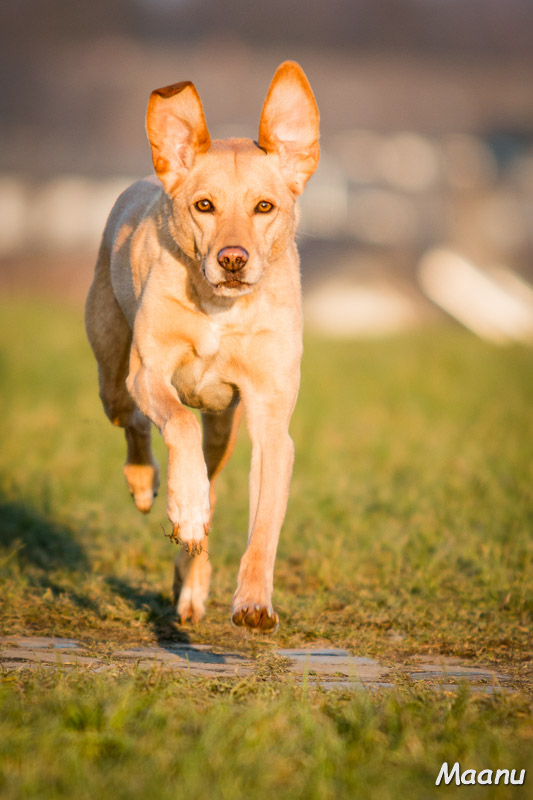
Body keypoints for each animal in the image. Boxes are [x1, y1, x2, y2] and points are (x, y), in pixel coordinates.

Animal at [86, 61, 320, 632]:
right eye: (204, 206)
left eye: (264, 207)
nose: (233, 259)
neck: (222, 310)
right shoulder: (149, 372)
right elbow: (177, 423)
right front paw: (184, 507)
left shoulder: (271, 422)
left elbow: (264, 524)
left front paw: (254, 601)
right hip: (112, 374)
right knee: (135, 422)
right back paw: (148, 485)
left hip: (225, 428)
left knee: (210, 473)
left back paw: (191, 584)